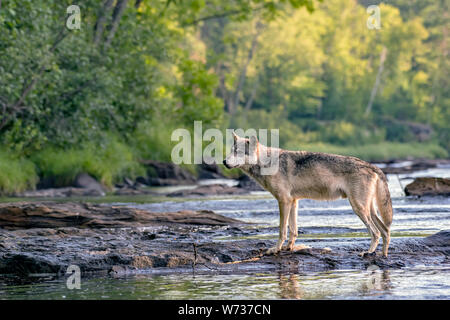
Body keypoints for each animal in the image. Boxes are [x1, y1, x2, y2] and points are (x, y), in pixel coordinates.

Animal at [223, 132, 392, 258]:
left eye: (238, 152)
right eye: (231, 151)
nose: (224, 161)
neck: (267, 163)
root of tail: (372, 166)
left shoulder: (284, 201)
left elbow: (282, 230)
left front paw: (276, 249)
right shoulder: (293, 201)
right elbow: (293, 230)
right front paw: (288, 248)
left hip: (359, 208)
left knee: (376, 232)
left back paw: (368, 253)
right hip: (369, 210)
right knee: (385, 231)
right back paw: (383, 255)